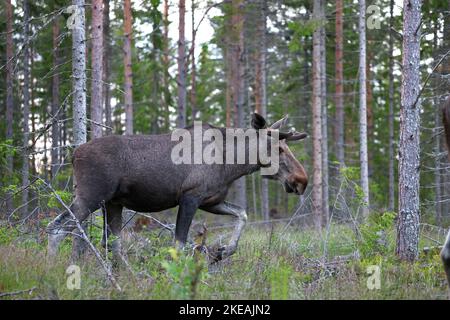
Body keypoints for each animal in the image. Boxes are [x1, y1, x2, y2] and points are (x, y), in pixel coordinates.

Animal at [48, 113, 310, 264]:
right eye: (279, 149)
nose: (302, 180)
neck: (232, 164)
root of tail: (74, 154)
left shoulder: (211, 201)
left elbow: (242, 214)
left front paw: (223, 251)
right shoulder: (190, 197)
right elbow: (180, 245)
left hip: (112, 203)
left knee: (112, 243)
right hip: (91, 196)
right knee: (57, 228)